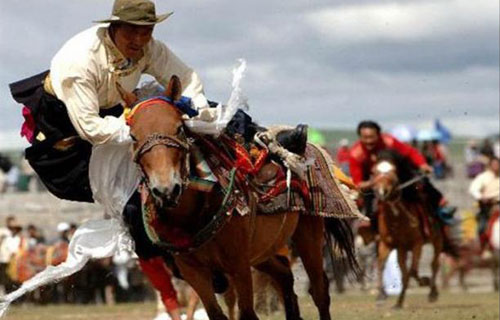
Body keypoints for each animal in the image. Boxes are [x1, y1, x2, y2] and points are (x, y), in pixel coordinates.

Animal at [120, 76, 356, 318]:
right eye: (133, 136)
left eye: (178, 128)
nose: (166, 189)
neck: (191, 215)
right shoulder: (193, 272)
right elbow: (216, 313)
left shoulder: (238, 265)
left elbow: (247, 313)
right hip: (263, 251)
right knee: (284, 275)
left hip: (308, 235)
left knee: (319, 290)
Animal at [370, 154, 444, 308]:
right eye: (374, 172)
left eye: (394, 171)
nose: (383, 192)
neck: (397, 217)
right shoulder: (387, 245)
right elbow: (381, 265)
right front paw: (380, 296)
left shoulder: (417, 244)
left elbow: (414, 271)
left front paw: (425, 281)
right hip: (402, 250)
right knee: (405, 273)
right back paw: (399, 302)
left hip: (437, 240)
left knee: (434, 264)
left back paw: (432, 292)